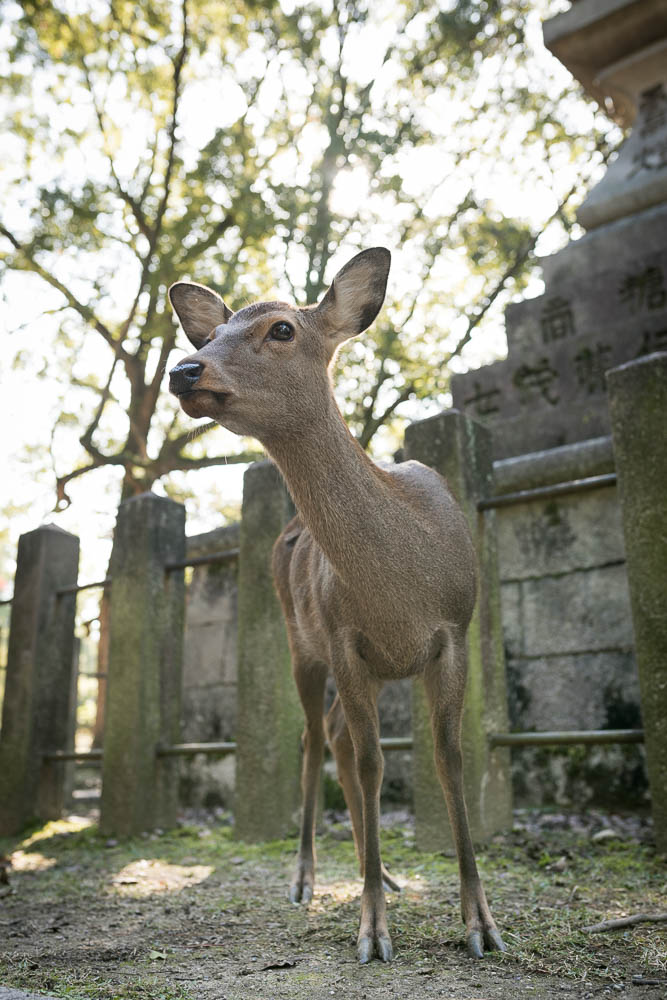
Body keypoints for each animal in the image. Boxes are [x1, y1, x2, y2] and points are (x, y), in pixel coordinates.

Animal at [168, 246, 506, 964]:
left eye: (281, 329)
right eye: (209, 335)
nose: (184, 369)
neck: (400, 587)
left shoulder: (454, 631)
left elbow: (447, 758)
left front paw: (481, 923)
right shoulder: (345, 638)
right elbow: (375, 762)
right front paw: (373, 931)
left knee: (339, 739)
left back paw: (380, 871)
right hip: (301, 643)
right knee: (316, 739)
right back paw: (310, 877)